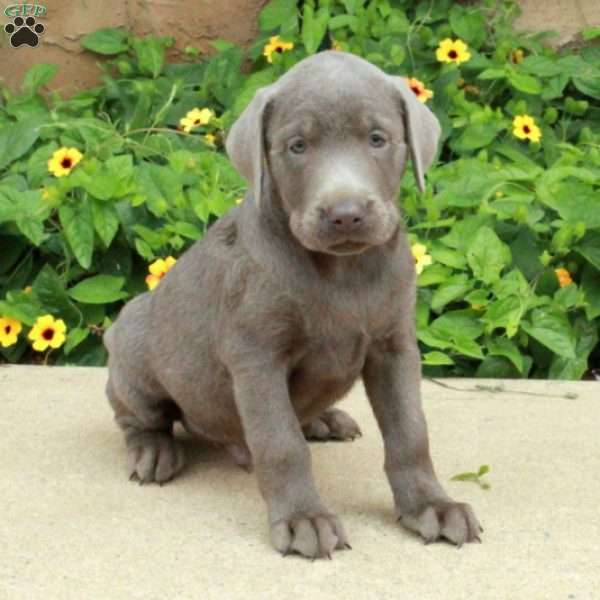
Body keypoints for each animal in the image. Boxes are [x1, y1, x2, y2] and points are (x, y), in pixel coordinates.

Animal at [105, 50, 482, 556]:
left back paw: (323, 419)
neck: (343, 272)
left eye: (377, 138)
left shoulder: (394, 346)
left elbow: (410, 431)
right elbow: (280, 443)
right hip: (132, 340)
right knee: (137, 415)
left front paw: (431, 506)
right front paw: (305, 517)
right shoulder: (256, 356)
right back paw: (153, 449)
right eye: (297, 146)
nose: (346, 214)